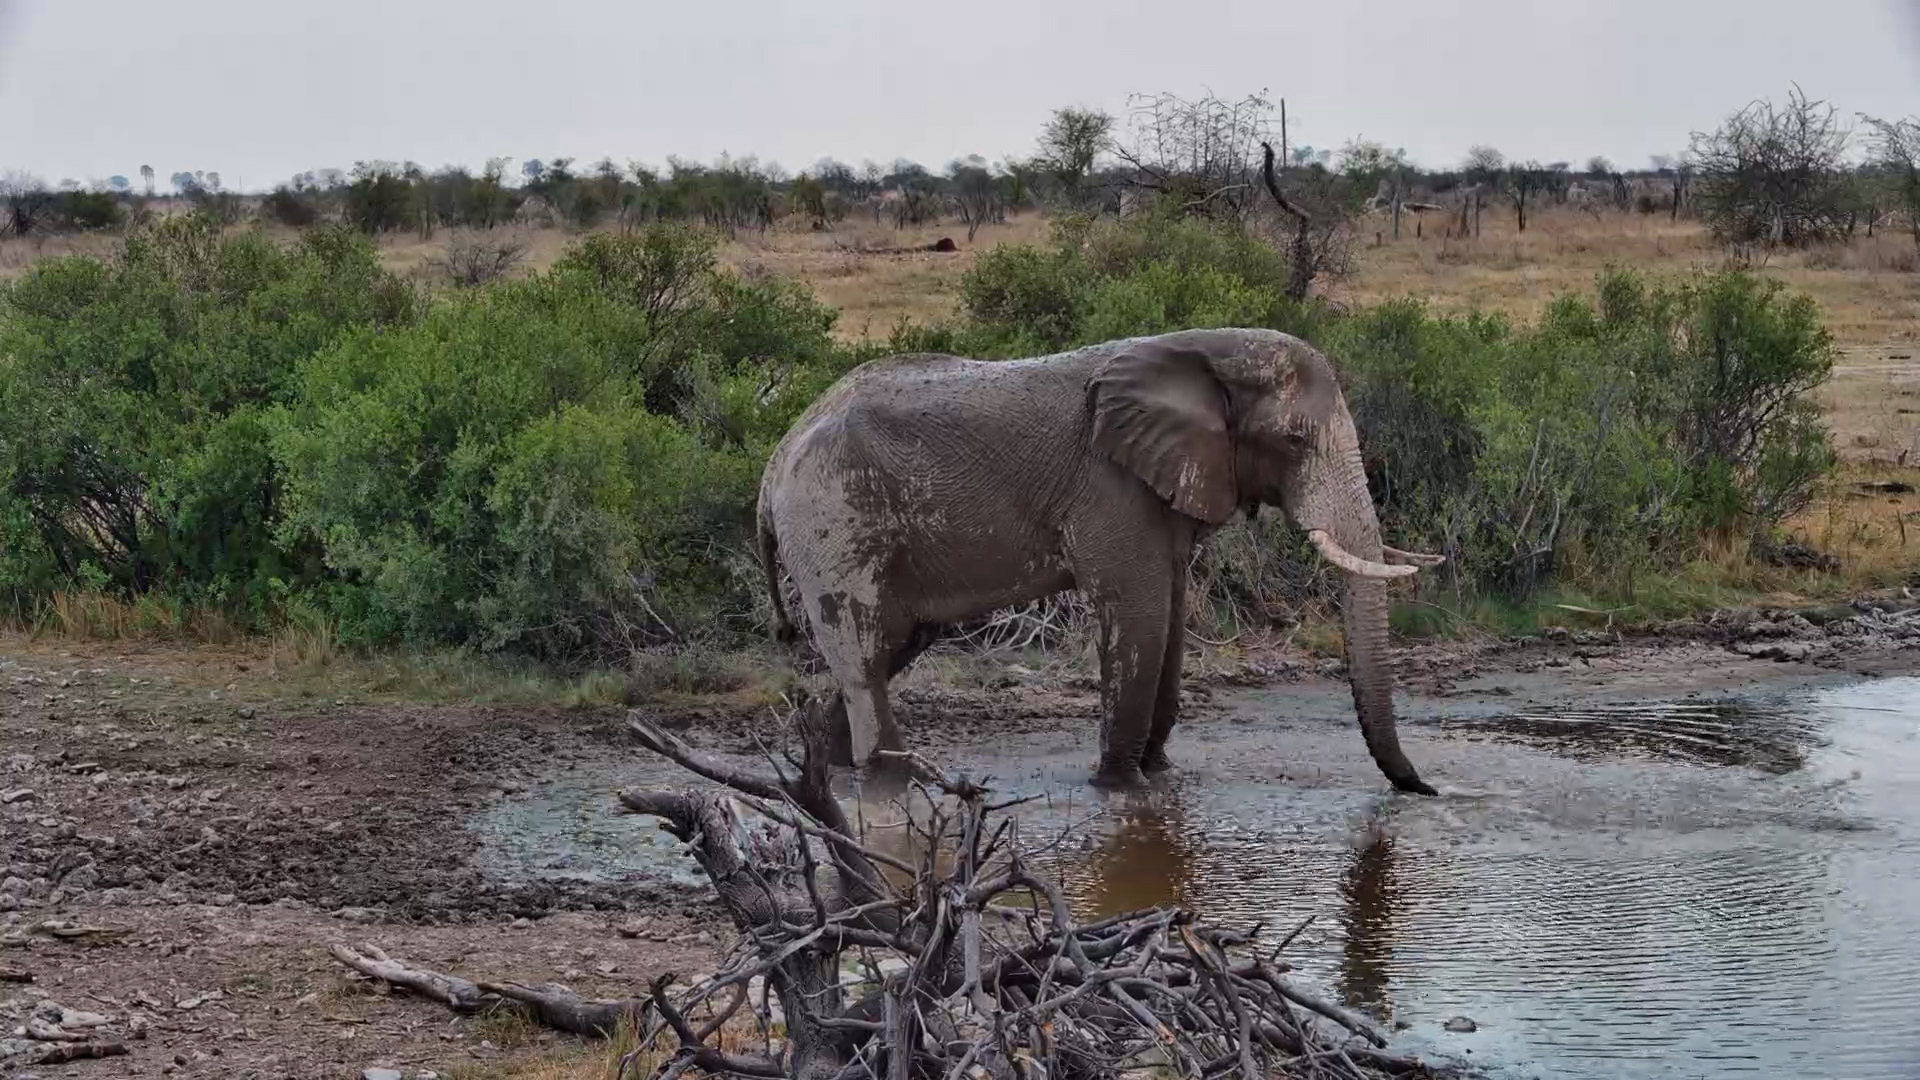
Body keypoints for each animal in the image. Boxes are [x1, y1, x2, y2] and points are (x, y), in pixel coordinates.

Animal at [755, 327, 1444, 794]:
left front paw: (1158, 773)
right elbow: (1137, 610)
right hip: (831, 519)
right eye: (1295, 440)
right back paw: (901, 777)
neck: (1206, 349)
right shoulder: (1108, 486)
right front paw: (1119, 785)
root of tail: (771, 466)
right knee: (863, 645)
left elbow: (1171, 614)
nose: (1426, 788)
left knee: (892, 643)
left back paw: (838, 764)